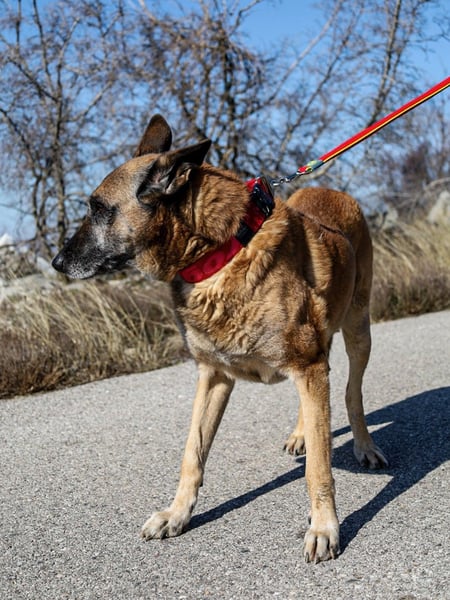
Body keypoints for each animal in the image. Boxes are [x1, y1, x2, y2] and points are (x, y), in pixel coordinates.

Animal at [52, 114, 388, 563]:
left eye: (99, 209)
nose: (56, 263)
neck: (220, 251)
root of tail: (332, 190)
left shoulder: (306, 366)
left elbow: (319, 468)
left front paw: (323, 527)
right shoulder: (214, 377)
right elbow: (191, 455)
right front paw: (177, 514)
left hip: (358, 331)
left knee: (352, 391)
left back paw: (364, 444)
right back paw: (302, 432)